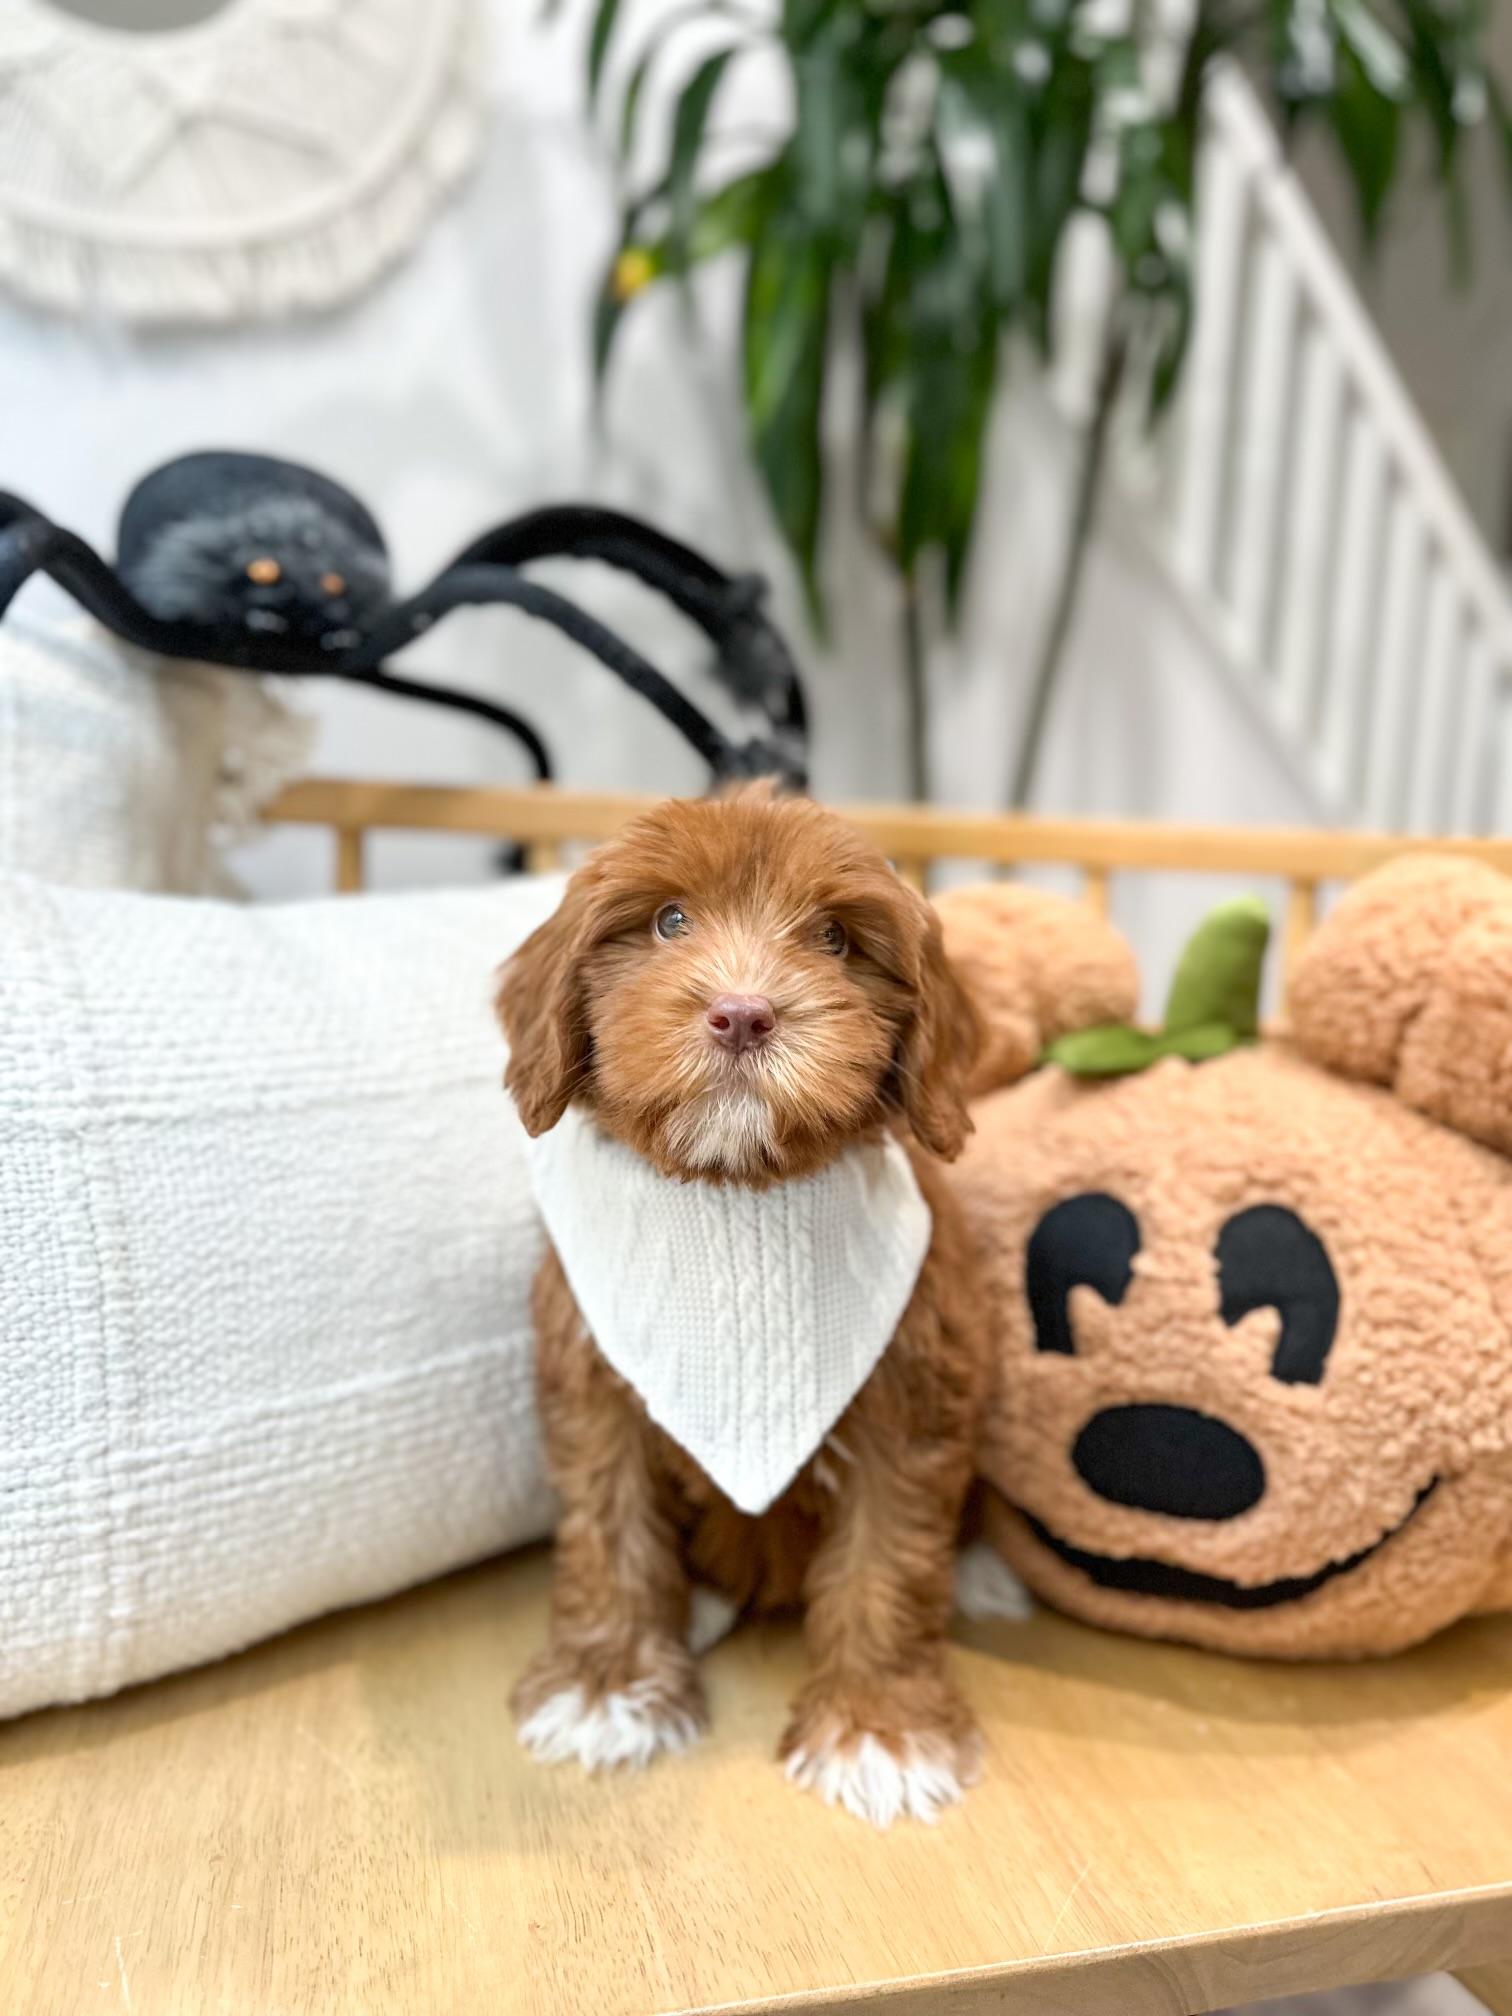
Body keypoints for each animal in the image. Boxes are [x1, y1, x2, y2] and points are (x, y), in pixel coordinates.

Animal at [496, 785, 993, 1826]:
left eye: (837, 938)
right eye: (667, 921)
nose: (742, 1013)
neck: (739, 1193)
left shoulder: (912, 1388)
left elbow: (888, 1560)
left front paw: (878, 1731)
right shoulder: (593, 1381)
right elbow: (608, 1532)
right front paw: (607, 1688)